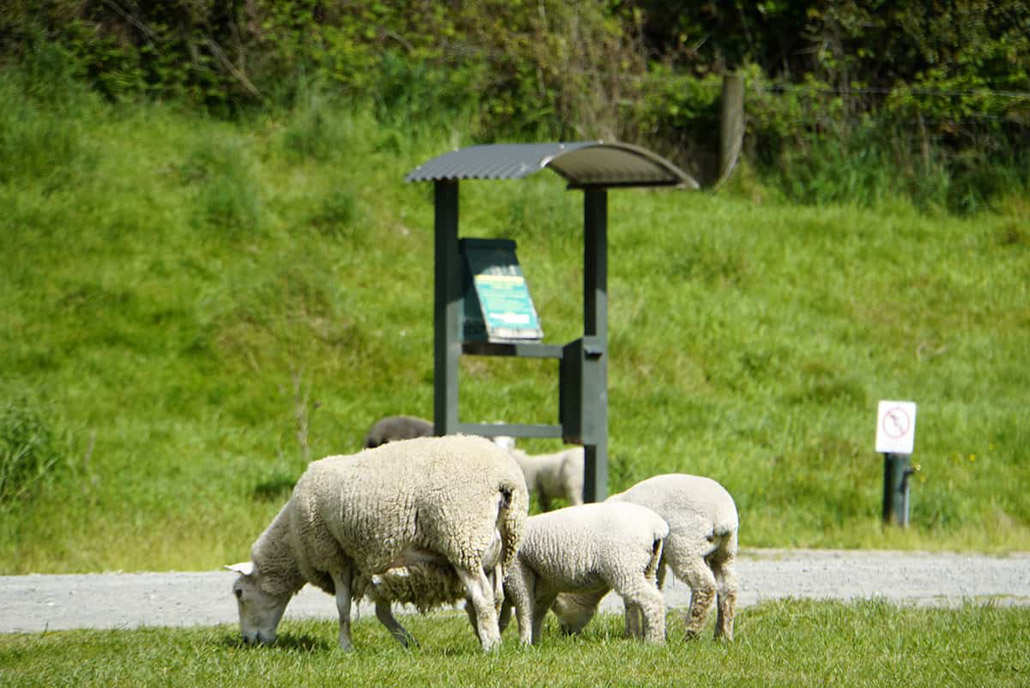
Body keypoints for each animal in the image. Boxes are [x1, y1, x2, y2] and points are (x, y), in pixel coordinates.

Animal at [225, 434, 529, 652]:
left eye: (239, 593)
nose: (248, 641)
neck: (292, 541)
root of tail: (505, 480)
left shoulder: (335, 555)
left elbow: (343, 607)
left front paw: (345, 648)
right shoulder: (377, 560)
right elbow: (381, 610)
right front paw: (407, 642)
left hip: (462, 538)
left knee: (481, 597)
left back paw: (491, 647)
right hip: (499, 549)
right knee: (496, 597)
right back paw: (489, 635)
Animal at [499, 502, 669, 645]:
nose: (566, 633)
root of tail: (656, 528)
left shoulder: (516, 570)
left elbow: (524, 609)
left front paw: (524, 644)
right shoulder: (545, 582)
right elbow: (536, 612)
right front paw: (534, 643)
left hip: (624, 564)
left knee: (652, 601)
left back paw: (654, 642)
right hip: (648, 568)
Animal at [605, 473, 739, 641]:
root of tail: (722, 516)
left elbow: (631, 599)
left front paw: (632, 634)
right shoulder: (656, 560)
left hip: (685, 545)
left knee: (705, 585)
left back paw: (691, 632)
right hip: (726, 551)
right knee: (728, 588)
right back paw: (722, 636)